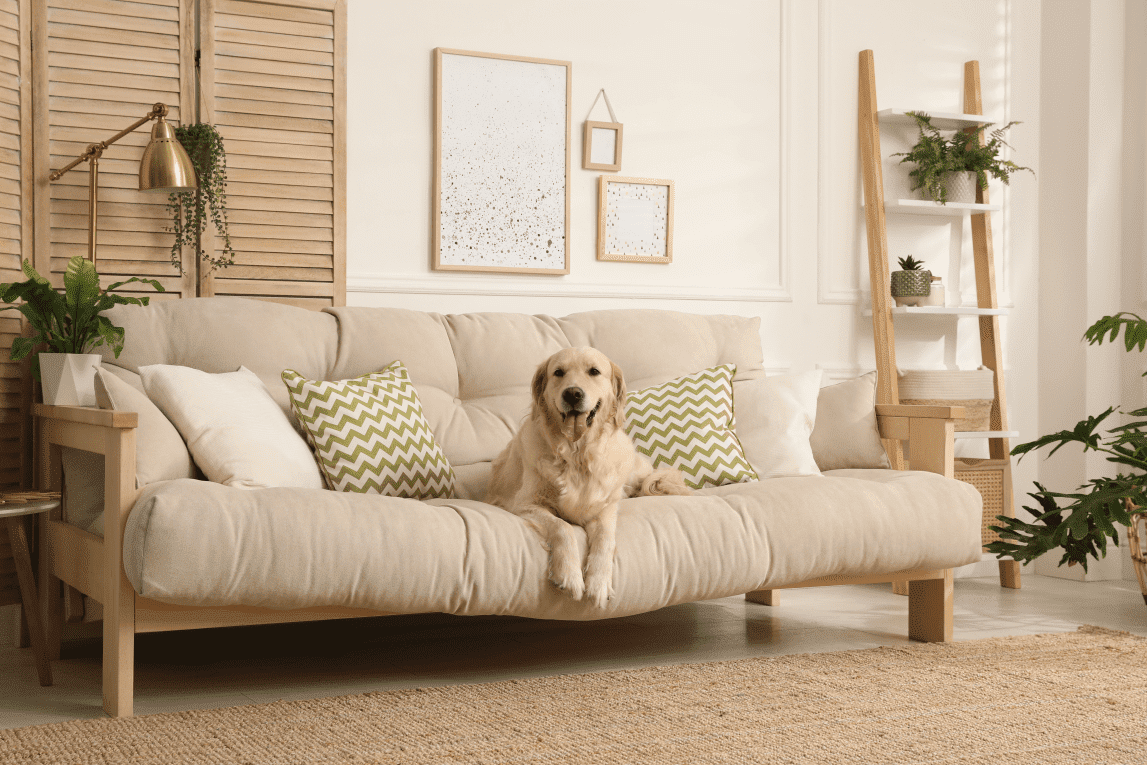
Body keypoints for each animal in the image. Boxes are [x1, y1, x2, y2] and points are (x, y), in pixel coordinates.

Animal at [484, 348, 688, 610]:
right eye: (558, 372)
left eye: (594, 371)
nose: (572, 393)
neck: (576, 456)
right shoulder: (524, 504)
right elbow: (562, 528)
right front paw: (569, 576)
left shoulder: (604, 508)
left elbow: (605, 540)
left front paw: (599, 583)